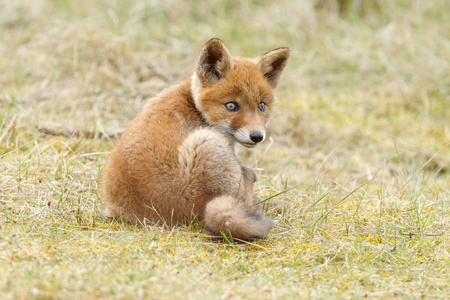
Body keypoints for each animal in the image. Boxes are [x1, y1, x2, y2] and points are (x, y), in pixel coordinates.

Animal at [100, 38, 290, 239]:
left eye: (261, 106)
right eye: (231, 106)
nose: (257, 136)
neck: (194, 106)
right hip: (207, 142)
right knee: (244, 203)